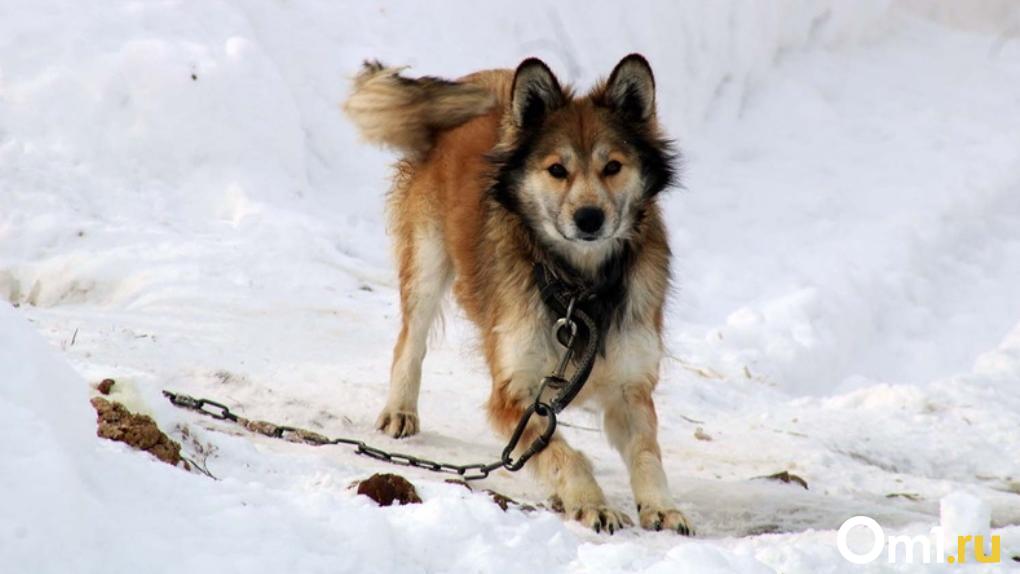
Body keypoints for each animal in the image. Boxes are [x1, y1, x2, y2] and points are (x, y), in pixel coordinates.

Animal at [344, 56, 693, 538]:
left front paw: (662, 506)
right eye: (557, 170)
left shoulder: (630, 388)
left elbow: (646, 454)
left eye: (613, 166)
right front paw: (591, 503)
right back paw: (400, 409)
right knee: (410, 343)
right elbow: (563, 453)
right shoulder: (514, 393)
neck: (577, 289)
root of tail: (485, 80)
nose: (589, 218)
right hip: (427, 262)